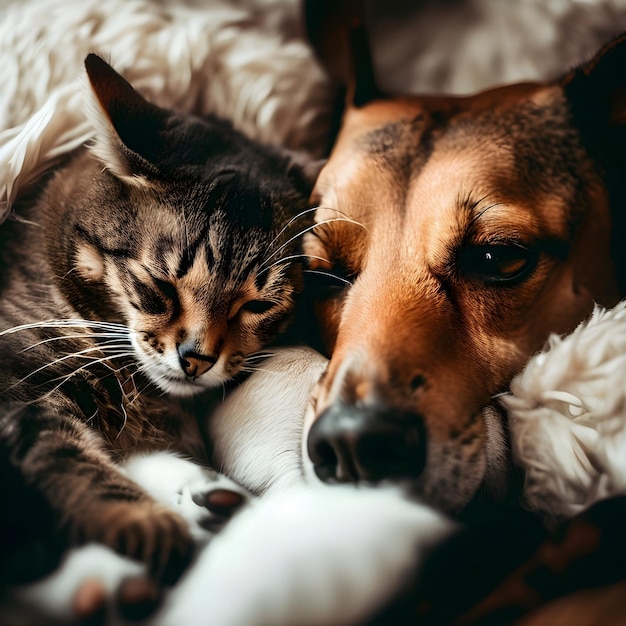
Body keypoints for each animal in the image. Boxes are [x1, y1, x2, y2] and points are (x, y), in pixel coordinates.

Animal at [0, 54, 314, 584]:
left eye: (256, 305)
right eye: (160, 284)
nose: (197, 358)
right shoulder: (17, 384)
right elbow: (66, 456)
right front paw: (148, 525)